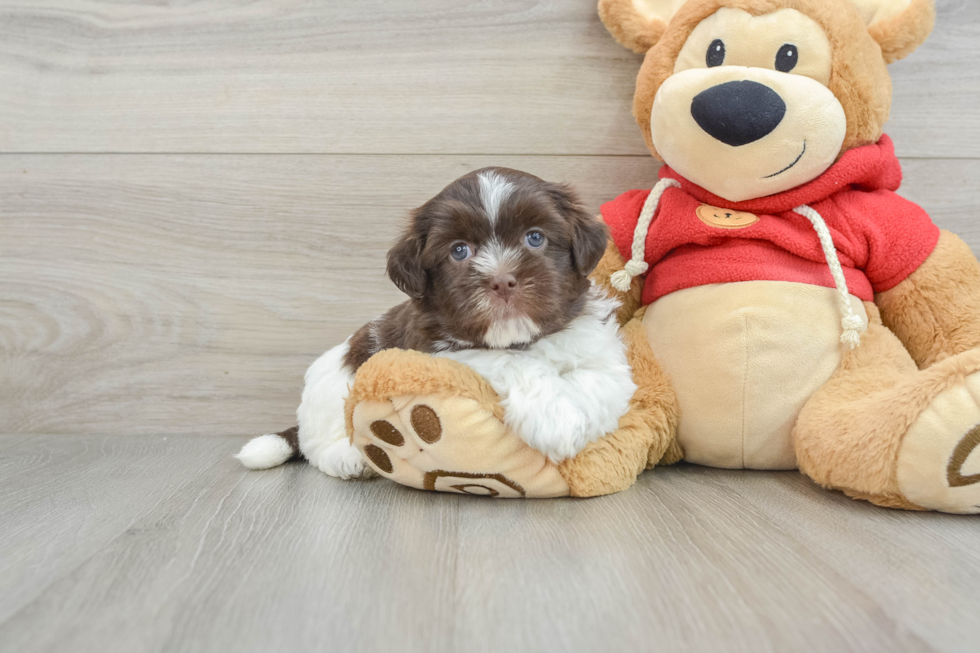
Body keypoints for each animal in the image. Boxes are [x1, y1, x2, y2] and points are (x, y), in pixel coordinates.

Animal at [235, 166, 636, 476]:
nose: (502, 281)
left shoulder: (599, 348)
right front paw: (555, 419)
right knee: (317, 445)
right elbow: (509, 361)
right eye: (459, 250)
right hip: (334, 393)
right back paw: (352, 459)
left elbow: (602, 382)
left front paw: (576, 428)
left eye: (534, 238)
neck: (522, 338)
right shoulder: (438, 352)